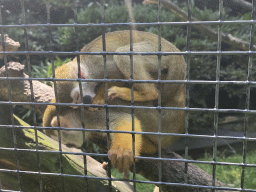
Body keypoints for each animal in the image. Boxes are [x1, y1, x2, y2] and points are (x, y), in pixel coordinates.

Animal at [42, 29, 186, 178]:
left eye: (77, 97)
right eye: (74, 103)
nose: (83, 104)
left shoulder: (98, 66)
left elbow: (116, 75)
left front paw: (100, 97)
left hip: (157, 53)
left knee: (123, 54)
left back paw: (147, 93)